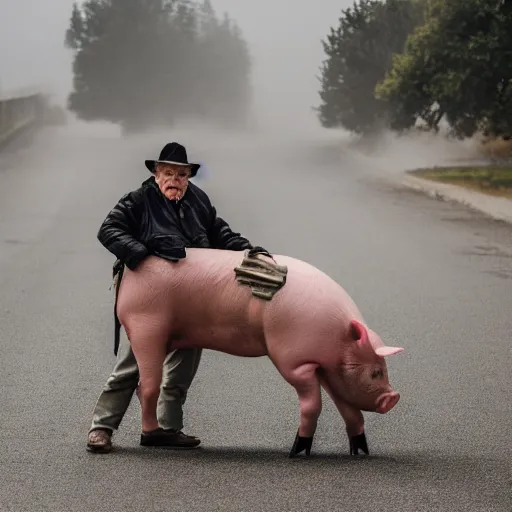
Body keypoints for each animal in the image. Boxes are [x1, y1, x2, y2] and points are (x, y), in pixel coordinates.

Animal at [116, 248, 404, 456]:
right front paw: (296, 452)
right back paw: (152, 438)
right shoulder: (294, 360)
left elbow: (346, 406)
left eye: (383, 369)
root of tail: (129, 277)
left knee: (140, 384)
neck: (339, 335)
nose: (394, 397)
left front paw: (360, 451)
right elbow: (313, 404)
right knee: (148, 385)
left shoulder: (330, 368)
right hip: (146, 324)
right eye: (375, 372)